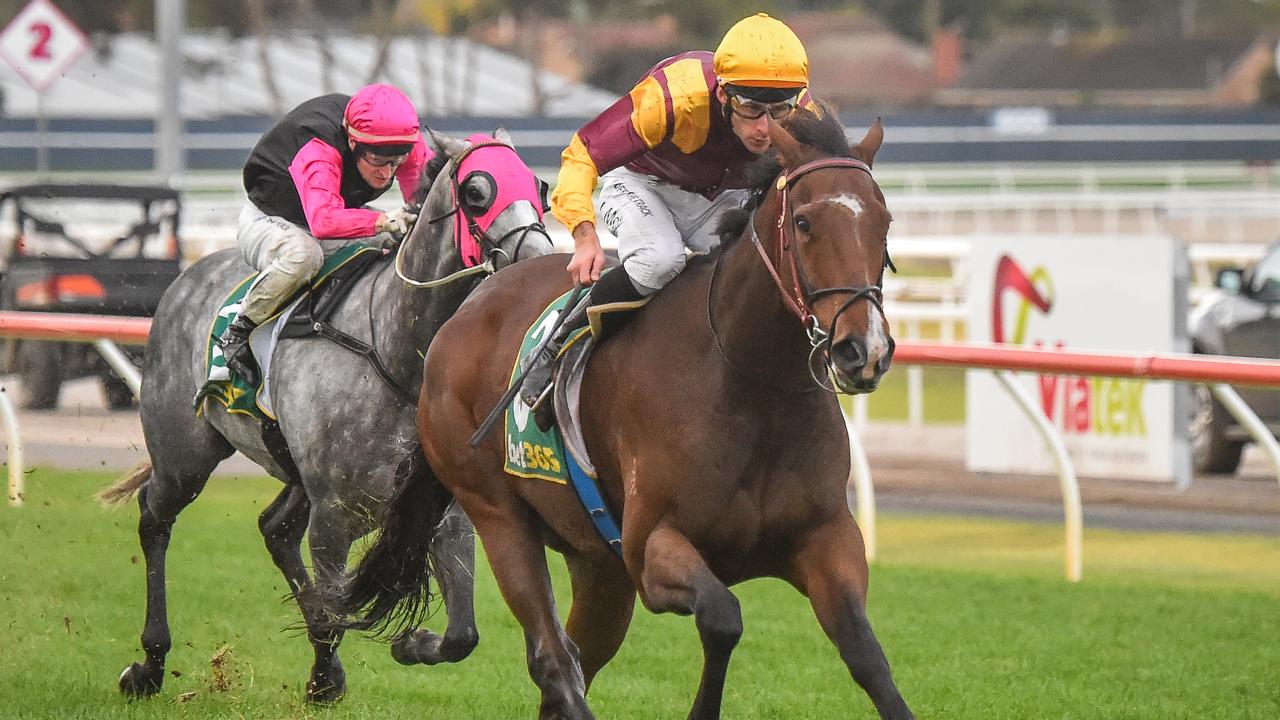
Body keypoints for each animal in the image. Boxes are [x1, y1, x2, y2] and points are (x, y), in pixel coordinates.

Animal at [103, 128, 555, 702]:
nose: (541, 260)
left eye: (540, 189)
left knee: (274, 529)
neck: (397, 354)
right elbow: (333, 610)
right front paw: (323, 676)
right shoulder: (334, 516)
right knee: (154, 517)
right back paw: (150, 662)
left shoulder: (444, 509)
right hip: (185, 456)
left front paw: (407, 645)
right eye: (478, 191)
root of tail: (187, 278)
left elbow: (461, 636)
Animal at [335, 103, 906, 712]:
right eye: (803, 222)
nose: (863, 350)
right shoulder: (651, 549)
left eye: (884, 221)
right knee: (554, 658)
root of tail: (466, 308)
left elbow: (868, 656)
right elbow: (723, 618)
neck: (750, 384)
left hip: (597, 564)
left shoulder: (827, 540)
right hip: (496, 515)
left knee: (575, 659)